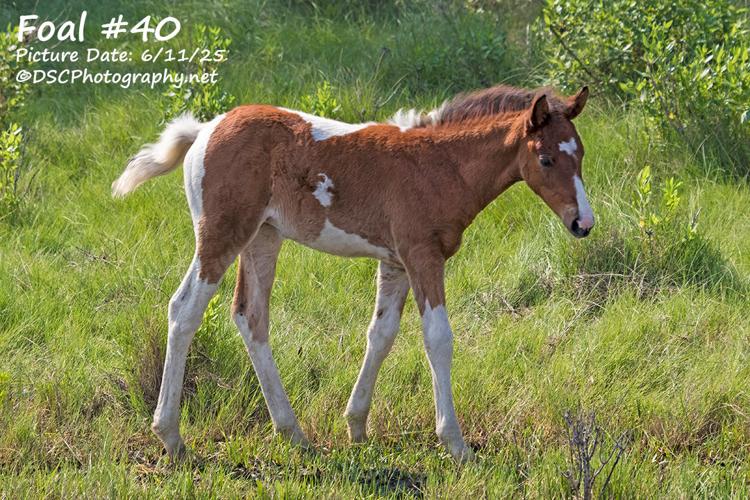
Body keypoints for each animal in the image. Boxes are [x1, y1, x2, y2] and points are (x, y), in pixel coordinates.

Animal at [112, 84, 593, 462]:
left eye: (582, 154)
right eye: (546, 159)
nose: (582, 223)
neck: (440, 165)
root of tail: (204, 131)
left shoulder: (395, 262)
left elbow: (381, 335)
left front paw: (357, 427)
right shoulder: (423, 256)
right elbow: (438, 339)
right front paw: (455, 444)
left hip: (263, 237)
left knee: (251, 316)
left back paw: (293, 433)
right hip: (222, 234)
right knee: (185, 310)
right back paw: (172, 438)